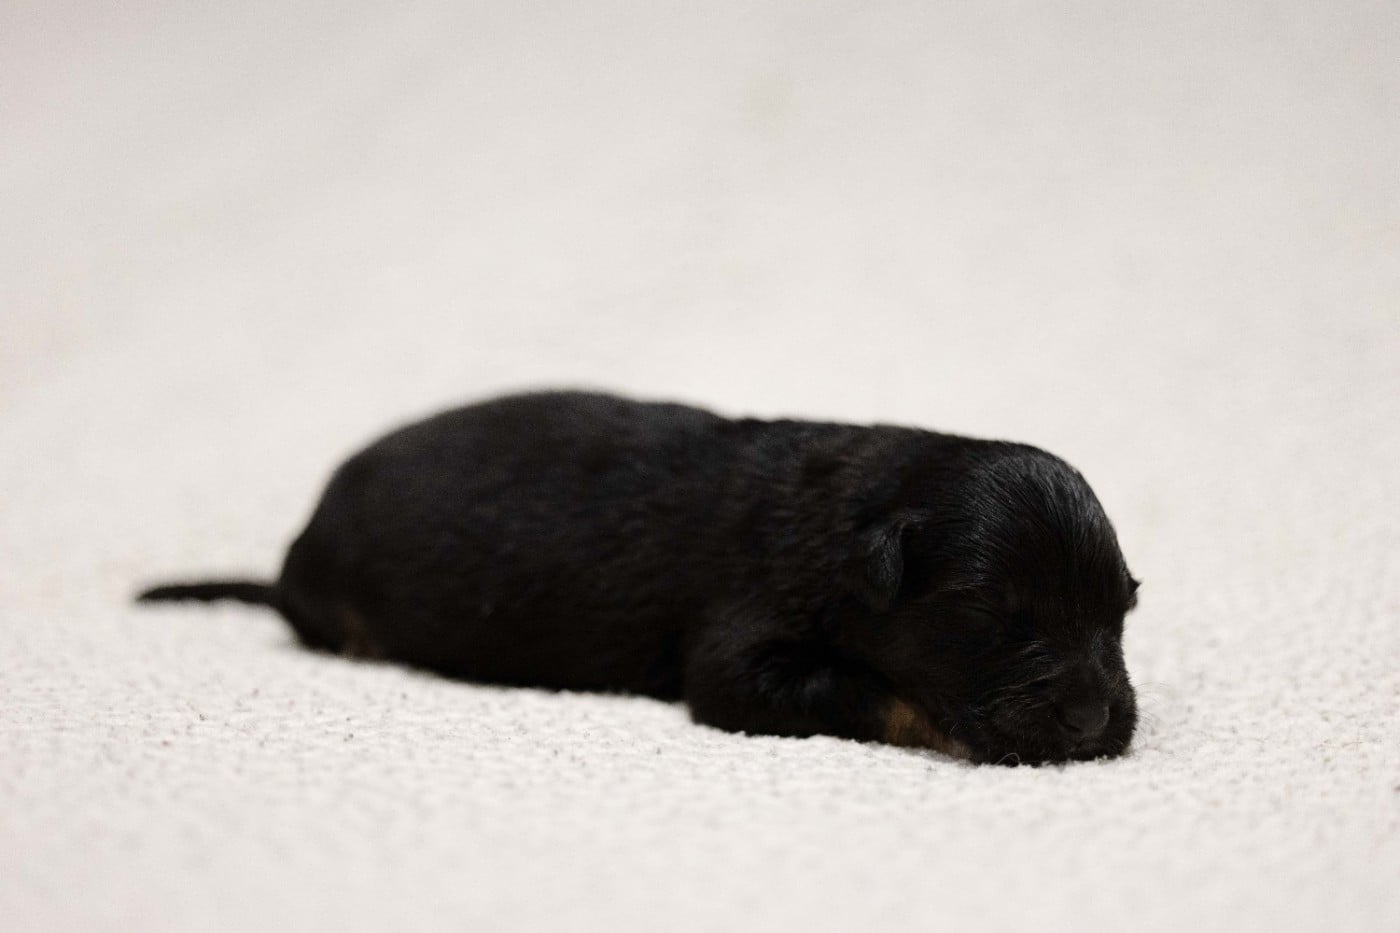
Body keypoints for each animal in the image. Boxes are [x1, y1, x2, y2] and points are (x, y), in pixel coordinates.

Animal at [138, 390, 1140, 765]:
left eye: (1123, 611)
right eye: (992, 615)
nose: (1095, 720)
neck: (853, 509)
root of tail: (291, 559)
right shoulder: (740, 649)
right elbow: (874, 689)